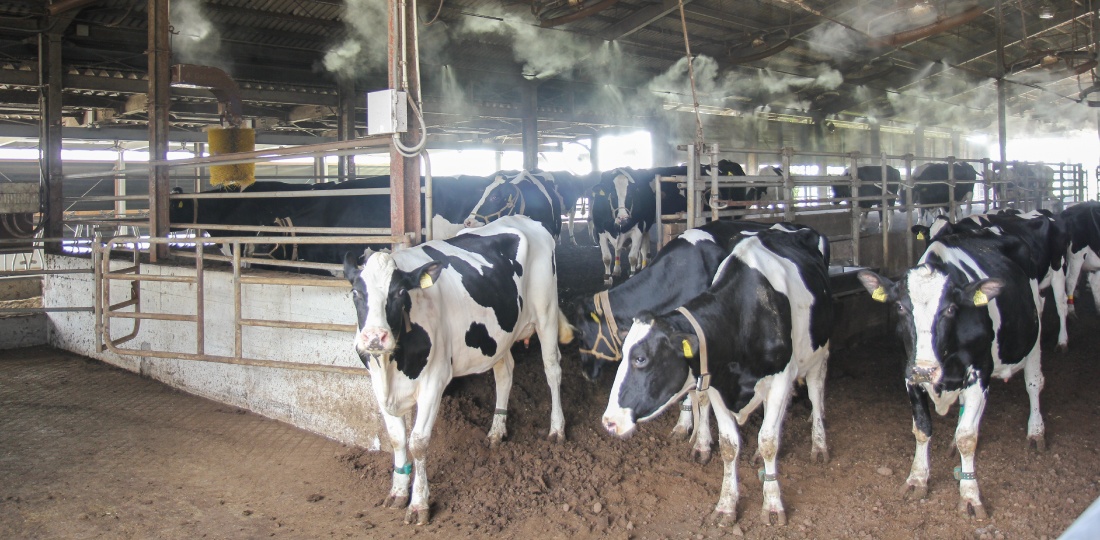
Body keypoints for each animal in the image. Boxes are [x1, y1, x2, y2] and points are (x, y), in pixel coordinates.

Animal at [343, 214, 572, 523]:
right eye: (356, 292)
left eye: (400, 292)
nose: (374, 337)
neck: (392, 366)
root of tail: (523, 218)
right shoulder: (378, 384)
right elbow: (396, 439)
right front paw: (398, 491)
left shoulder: (434, 381)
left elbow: (417, 442)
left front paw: (419, 504)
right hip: (498, 336)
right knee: (505, 373)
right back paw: (496, 430)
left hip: (546, 312)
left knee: (552, 369)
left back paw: (557, 429)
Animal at [602, 228, 831, 527]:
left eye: (641, 359)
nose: (609, 421)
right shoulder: (717, 384)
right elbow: (729, 445)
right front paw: (726, 505)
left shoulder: (781, 376)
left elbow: (769, 441)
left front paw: (772, 505)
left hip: (820, 352)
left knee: (815, 394)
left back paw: (819, 445)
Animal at [858, 229, 1038, 519]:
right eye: (900, 307)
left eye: (951, 309)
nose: (925, 369)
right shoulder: (908, 371)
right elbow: (922, 428)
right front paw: (917, 479)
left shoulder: (980, 371)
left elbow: (968, 438)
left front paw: (970, 496)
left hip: (1034, 336)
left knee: (1034, 383)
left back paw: (1036, 432)